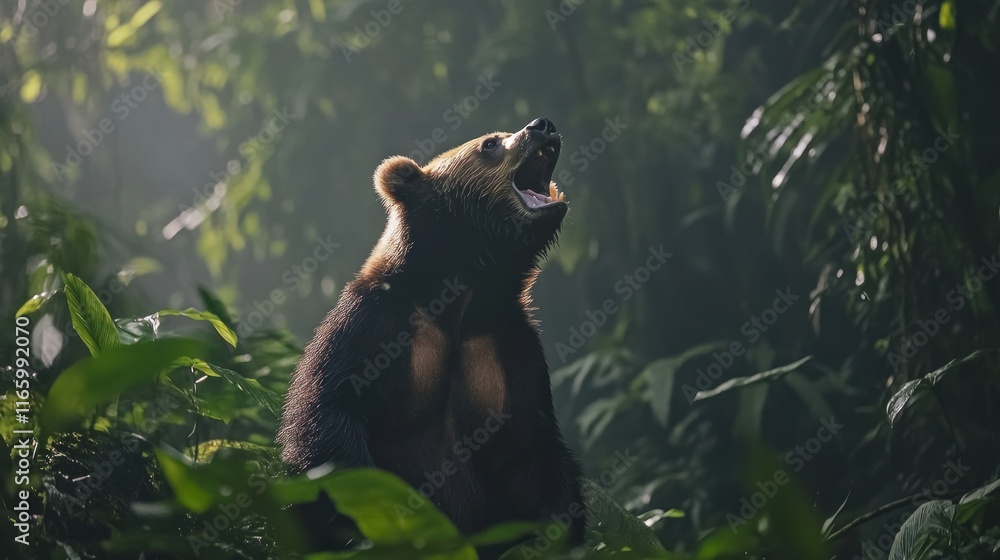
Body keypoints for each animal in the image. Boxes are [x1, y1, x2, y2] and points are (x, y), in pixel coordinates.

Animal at [278, 117, 583, 555]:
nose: (542, 125)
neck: (462, 292)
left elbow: (534, 450)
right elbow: (328, 417)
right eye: (490, 144)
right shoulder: (372, 327)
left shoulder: (508, 346)